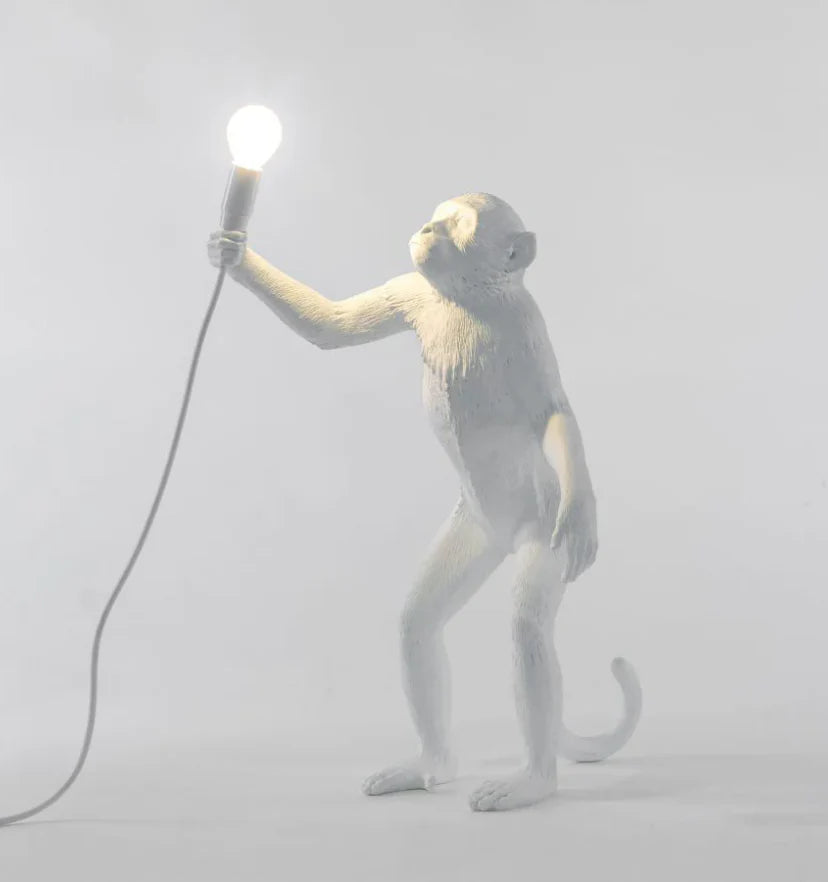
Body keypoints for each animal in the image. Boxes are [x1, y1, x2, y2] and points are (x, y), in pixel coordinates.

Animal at [207, 192, 641, 812]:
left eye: (461, 223)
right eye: (440, 212)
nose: (429, 227)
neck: (467, 298)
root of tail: (506, 537)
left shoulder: (526, 328)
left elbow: (556, 414)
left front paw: (584, 512)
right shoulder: (412, 290)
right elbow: (334, 327)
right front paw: (233, 252)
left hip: (540, 533)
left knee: (528, 632)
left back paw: (531, 783)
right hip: (472, 530)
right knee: (418, 626)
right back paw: (430, 766)